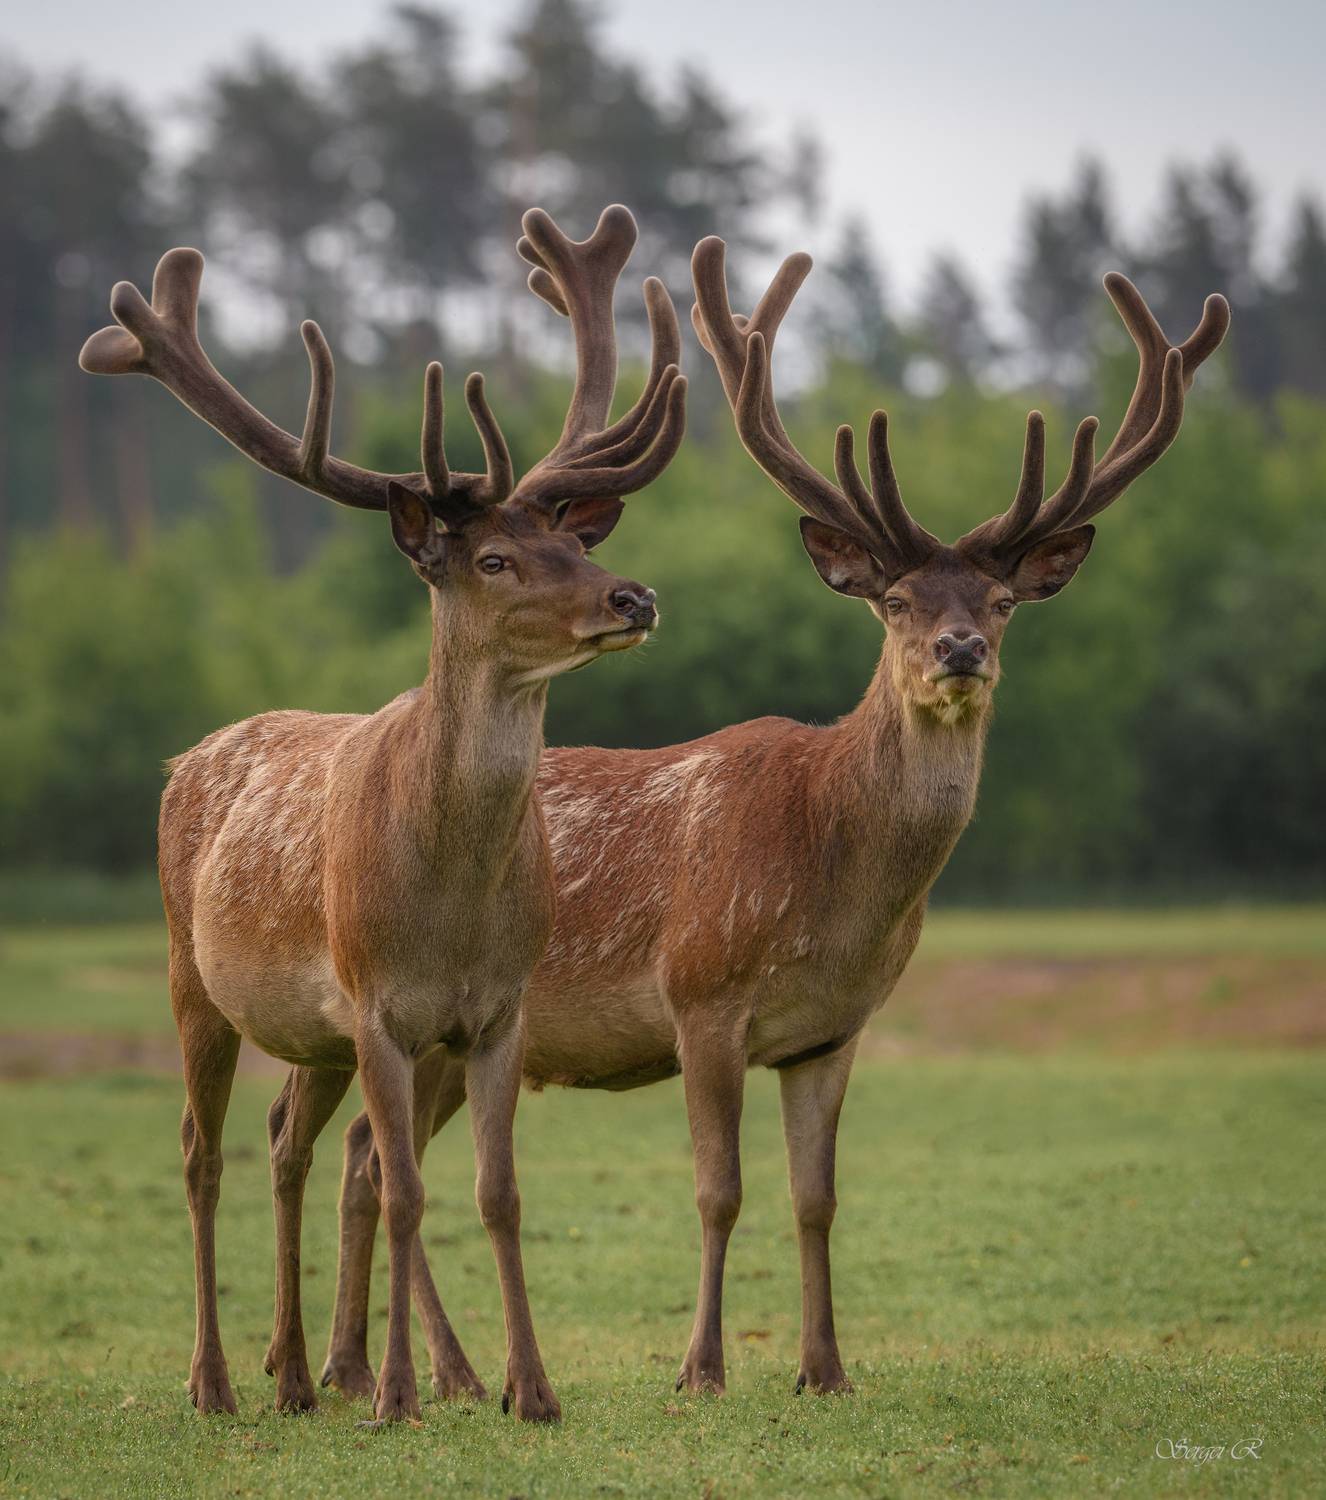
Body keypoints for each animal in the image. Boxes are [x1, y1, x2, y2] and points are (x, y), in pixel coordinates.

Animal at [77, 204, 687, 1424]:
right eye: (494, 557)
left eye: (575, 542)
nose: (633, 596)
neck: (449, 904)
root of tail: (187, 757)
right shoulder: (377, 1006)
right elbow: (405, 1189)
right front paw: (403, 1393)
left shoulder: (496, 1013)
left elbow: (496, 1192)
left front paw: (531, 1390)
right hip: (191, 973)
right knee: (200, 1151)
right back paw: (217, 1379)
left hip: (310, 1032)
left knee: (285, 1143)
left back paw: (297, 1375)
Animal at [321, 242, 1229, 1403]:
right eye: (894, 601)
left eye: (1001, 603)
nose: (960, 652)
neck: (835, 889)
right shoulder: (701, 994)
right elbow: (721, 1190)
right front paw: (701, 1369)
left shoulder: (834, 1030)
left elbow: (816, 1197)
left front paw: (824, 1368)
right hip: (432, 1017)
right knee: (374, 1154)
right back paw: (436, 1375)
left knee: (359, 1152)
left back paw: (367, 1369)